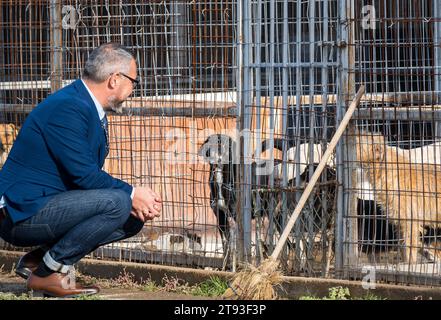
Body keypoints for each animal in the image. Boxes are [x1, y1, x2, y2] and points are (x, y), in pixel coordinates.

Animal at [354, 131, 440, 264]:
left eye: (357, 142)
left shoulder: (411, 222)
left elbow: (410, 249)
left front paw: (410, 265)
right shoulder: (400, 224)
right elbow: (403, 248)